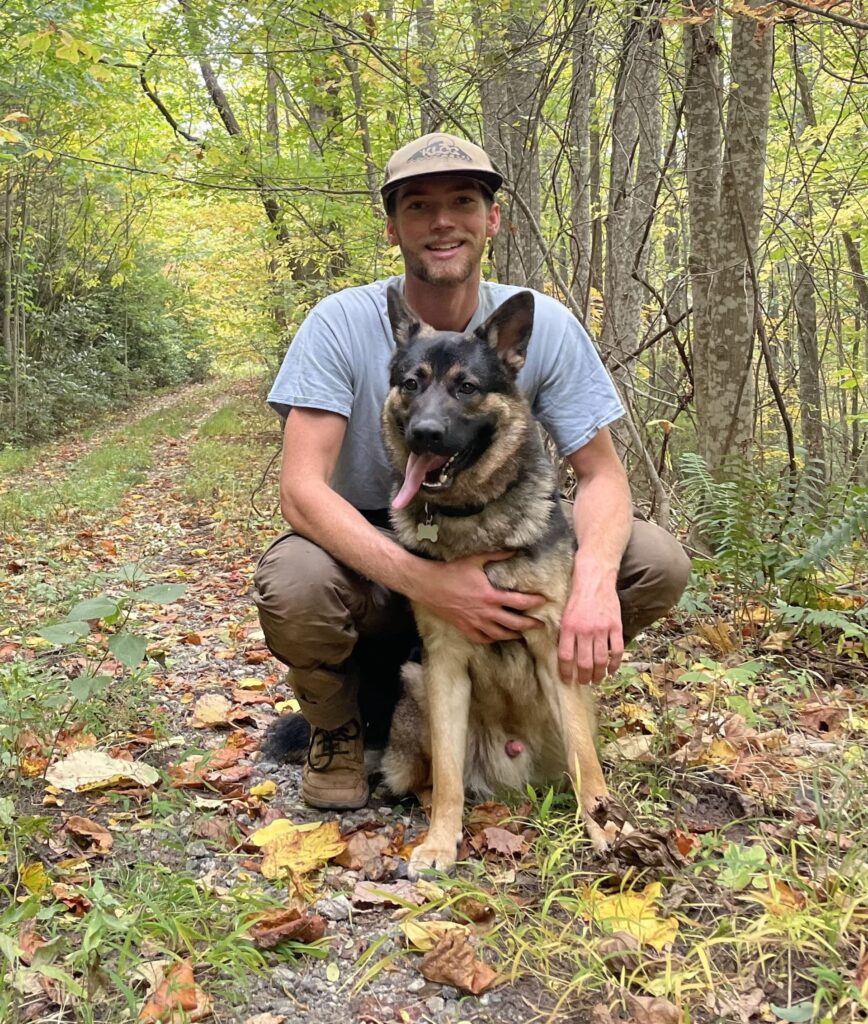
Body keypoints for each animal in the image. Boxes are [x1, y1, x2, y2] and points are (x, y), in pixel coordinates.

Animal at [382, 284, 622, 876]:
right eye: (412, 383)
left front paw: (604, 827)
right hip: (415, 682)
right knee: (432, 778)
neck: (475, 520)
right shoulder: (444, 664)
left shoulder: (555, 649)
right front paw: (441, 841)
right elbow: (448, 778)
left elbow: (587, 762)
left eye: (466, 387)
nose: (424, 435)